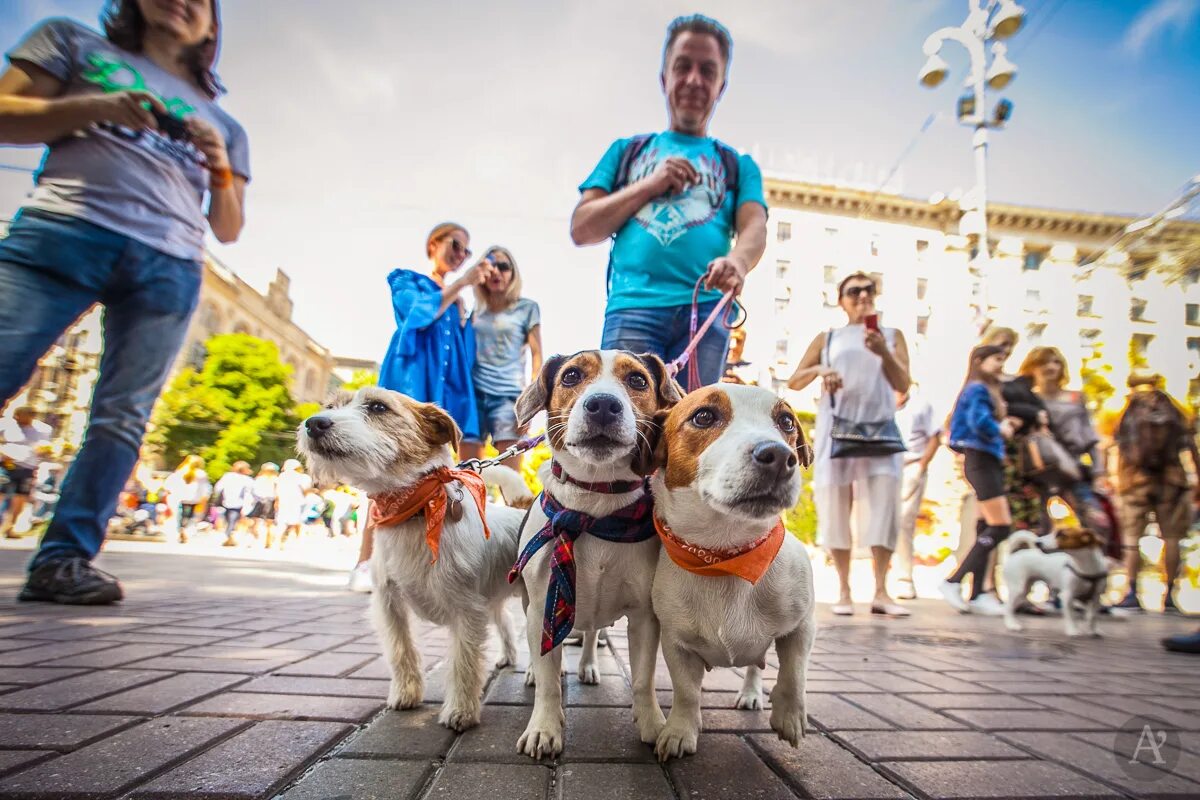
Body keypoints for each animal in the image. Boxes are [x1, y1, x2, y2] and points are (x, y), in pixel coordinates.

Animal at [295, 388, 525, 734]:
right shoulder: (389, 604)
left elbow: (464, 663)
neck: (415, 511)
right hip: (493, 599)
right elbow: (401, 651)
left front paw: (460, 711)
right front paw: (406, 694)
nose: (314, 423)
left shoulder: (468, 611)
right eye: (331, 406)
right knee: (507, 623)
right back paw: (508, 656)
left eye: (378, 407)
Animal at [508, 350, 686, 758]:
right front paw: (544, 727)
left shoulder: (644, 617)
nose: (603, 404)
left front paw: (653, 723)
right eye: (572, 375)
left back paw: (589, 665)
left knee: (591, 635)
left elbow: (643, 679)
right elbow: (548, 681)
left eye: (637, 380)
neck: (594, 505)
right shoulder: (543, 606)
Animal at [648, 383, 816, 762]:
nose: (780, 456)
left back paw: (752, 694)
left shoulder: (802, 625)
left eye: (786, 421)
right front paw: (680, 731)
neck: (724, 556)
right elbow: (686, 692)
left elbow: (795, 673)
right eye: (704, 416)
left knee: (755, 666)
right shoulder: (675, 642)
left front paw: (789, 717)